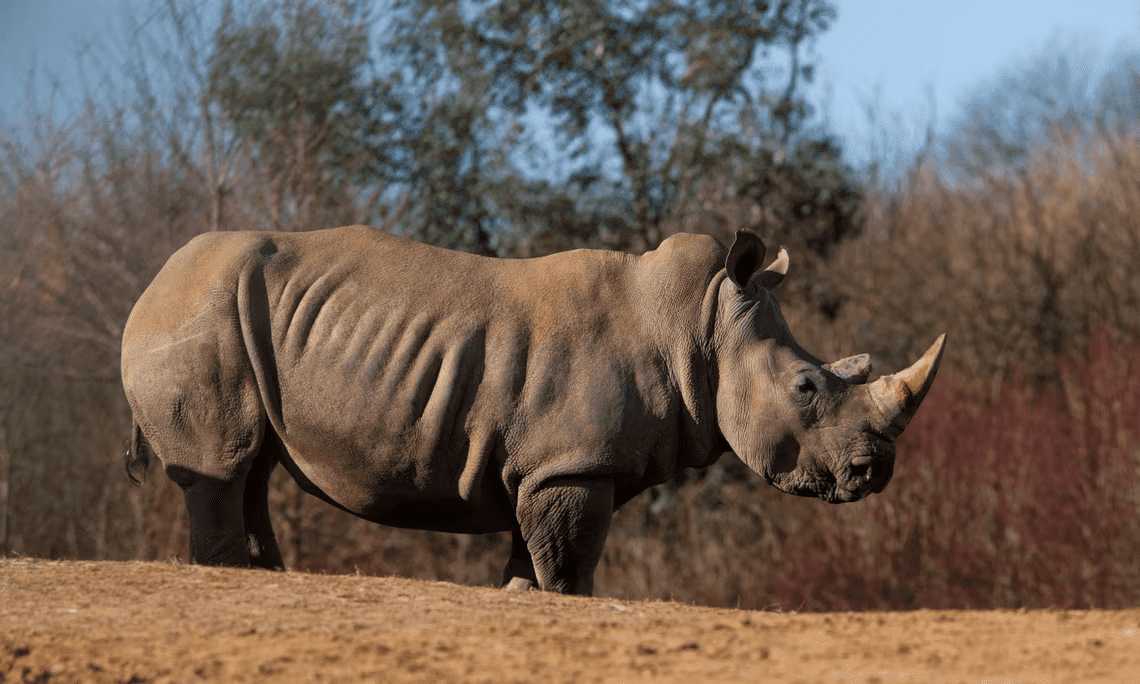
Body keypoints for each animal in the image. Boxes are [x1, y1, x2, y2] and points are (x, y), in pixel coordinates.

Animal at [121, 226, 944, 595]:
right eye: (807, 389)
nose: (875, 471)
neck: (699, 326)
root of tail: (149, 284)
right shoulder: (570, 465)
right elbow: (570, 565)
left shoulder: (545, 464)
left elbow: (534, 557)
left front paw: (518, 595)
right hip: (197, 312)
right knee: (222, 467)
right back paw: (233, 574)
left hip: (221, 312)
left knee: (256, 466)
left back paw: (271, 573)